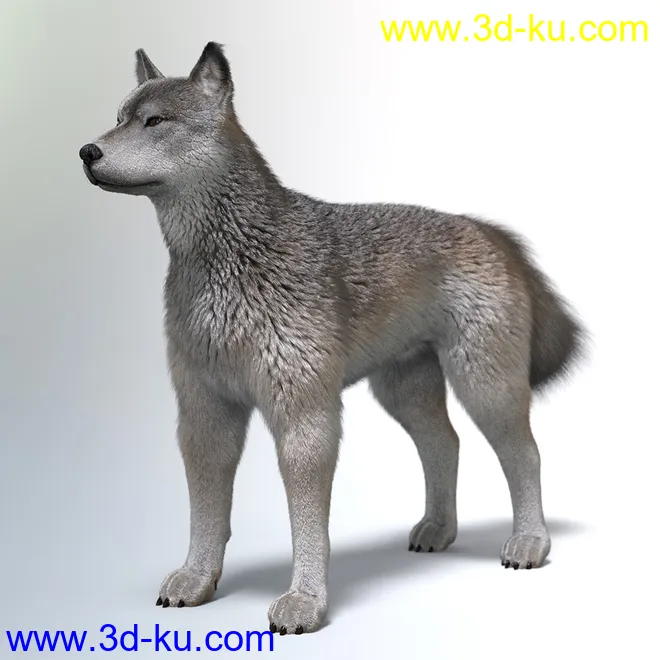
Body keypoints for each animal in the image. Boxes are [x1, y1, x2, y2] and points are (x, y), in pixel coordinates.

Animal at [79, 42, 584, 634]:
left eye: (155, 122)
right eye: (118, 118)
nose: (86, 151)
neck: (231, 260)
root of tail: (492, 231)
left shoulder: (305, 417)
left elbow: (307, 524)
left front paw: (305, 602)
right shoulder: (204, 413)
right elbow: (206, 514)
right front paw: (196, 580)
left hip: (484, 385)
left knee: (524, 453)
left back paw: (529, 541)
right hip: (404, 391)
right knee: (445, 444)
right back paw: (439, 529)